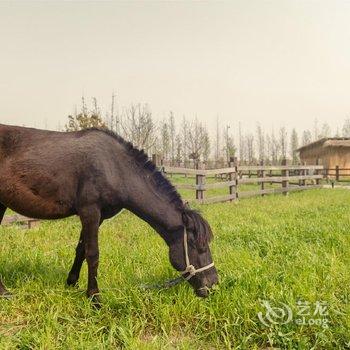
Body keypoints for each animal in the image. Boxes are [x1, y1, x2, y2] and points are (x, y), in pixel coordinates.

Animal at [0, 124, 217, 302]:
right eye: (199, 246)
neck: (114, 167)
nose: (213, 284)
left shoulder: (98, 217)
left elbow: (81, 250)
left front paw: (72, 283)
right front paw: (94, 297)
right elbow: (93, 254)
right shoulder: (90, 211)